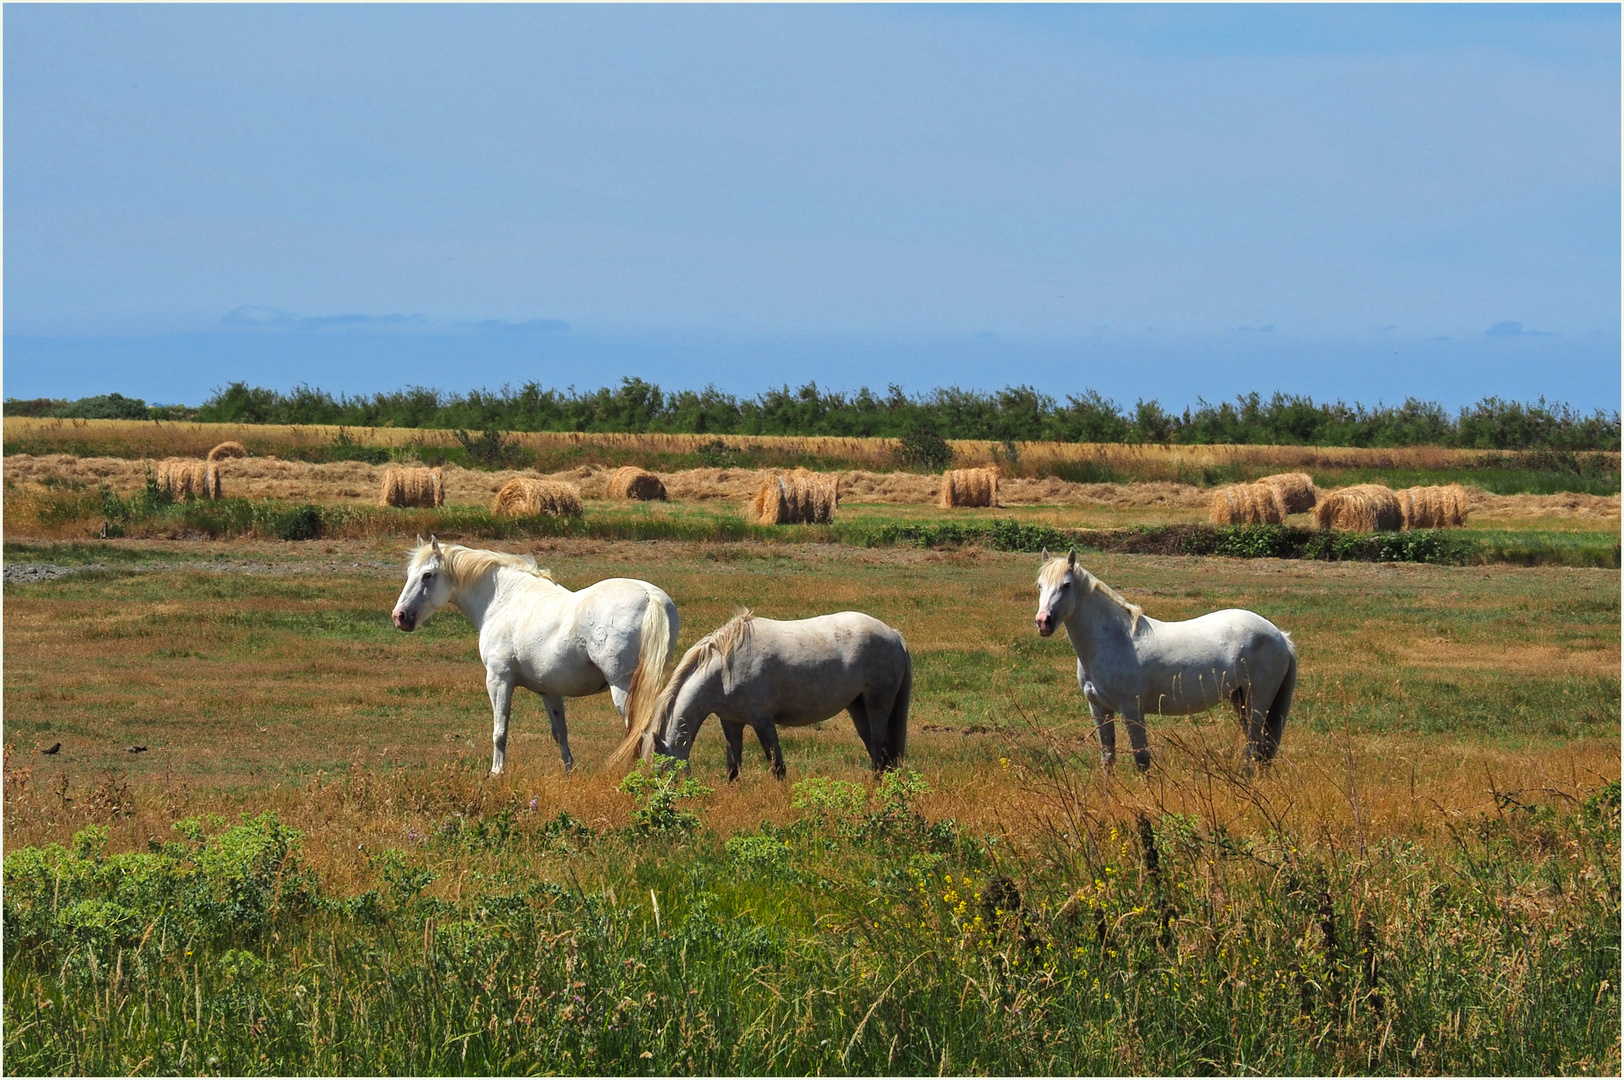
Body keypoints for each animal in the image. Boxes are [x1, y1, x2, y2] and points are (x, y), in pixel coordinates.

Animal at [389, 535, 675, 769]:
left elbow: (500, 731)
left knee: (639, 731)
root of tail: (651, 596)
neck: (504, 600)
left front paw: (496, 773)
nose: (400, 616)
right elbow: (560, 733)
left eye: (427, 575)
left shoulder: (499, 681)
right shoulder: (550, 691)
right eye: (410, 572)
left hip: (623, 688)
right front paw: (569, 773)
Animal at [610, 610, 915, 779]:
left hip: (877, 704)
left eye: (661, 772)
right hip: (857, 707)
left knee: (879, 750)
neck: (725, 669)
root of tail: (894, 634)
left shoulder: (762, 721)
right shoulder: (731, 722)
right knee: (878, 750)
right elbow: (733, 767)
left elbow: (777, 766)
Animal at [1039, 548, 1292, 766]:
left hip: (1257, 701)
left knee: (1254, 748)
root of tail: (1280, 635)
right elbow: (1107, 759)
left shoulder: (1132, 710)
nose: (1043, 622)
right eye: (1040, 585)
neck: (1114, 639)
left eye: (1067, 585)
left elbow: (1142, 759)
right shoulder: (1099, 709)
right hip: (1240, 699)